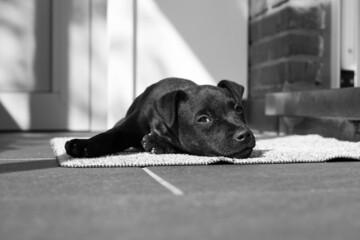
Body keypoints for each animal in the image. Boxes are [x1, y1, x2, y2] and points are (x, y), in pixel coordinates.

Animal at [64, 78, 256, 158]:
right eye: (203, 119)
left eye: (239, 109)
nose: (245, 134)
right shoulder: (129, 127)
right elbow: (110, 136)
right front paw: (81, 145)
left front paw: (157, 143)